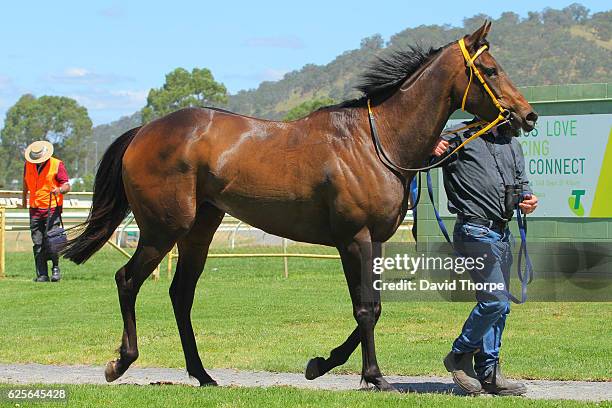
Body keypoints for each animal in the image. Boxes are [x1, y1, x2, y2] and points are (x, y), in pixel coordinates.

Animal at [63, 20, 536, 390]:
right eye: (490, 69)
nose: (527, 115)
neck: (375, 141)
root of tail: (143, 132)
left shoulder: (372, 242)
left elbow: (372, 307)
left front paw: (322, 364)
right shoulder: (355, 239)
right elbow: (366, 308)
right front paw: (374, 376)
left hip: (200, 229)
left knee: (181, 294)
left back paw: (202, 374)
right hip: (164, 229)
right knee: (127, 280)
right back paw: (121, 362)